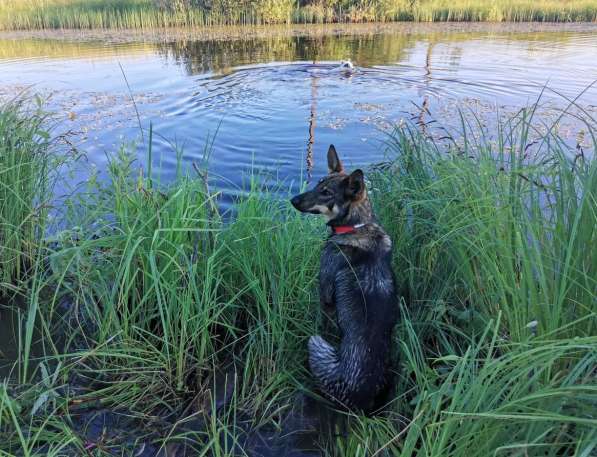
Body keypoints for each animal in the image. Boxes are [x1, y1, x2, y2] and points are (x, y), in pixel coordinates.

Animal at [292, 144, 398, 412]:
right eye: (318, 183)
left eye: (326, 193)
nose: (292, 200)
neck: (357, 226)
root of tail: (360, 400)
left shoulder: (325, 293)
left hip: (316, 344)